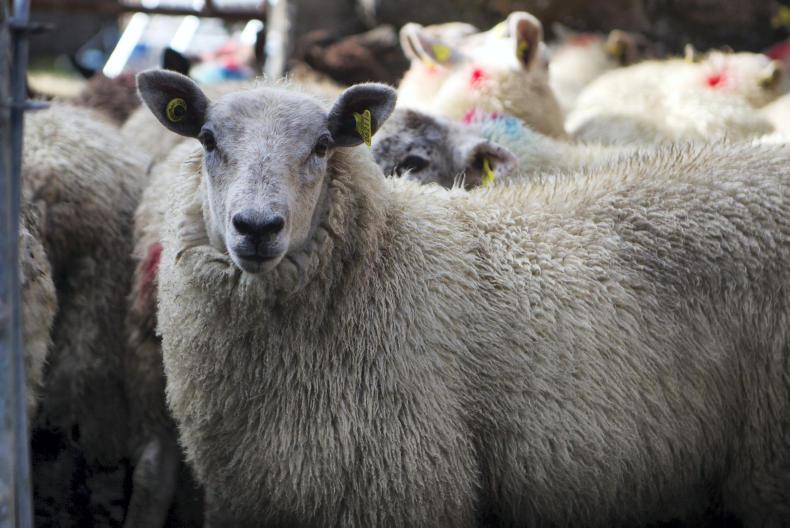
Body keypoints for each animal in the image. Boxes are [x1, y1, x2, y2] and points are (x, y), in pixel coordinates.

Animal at [138, 69, 790, 527]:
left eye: (324, 144)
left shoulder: (403, 483)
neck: (382, 257)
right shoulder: (249, 492)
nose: (256, 227)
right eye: (206, 138)